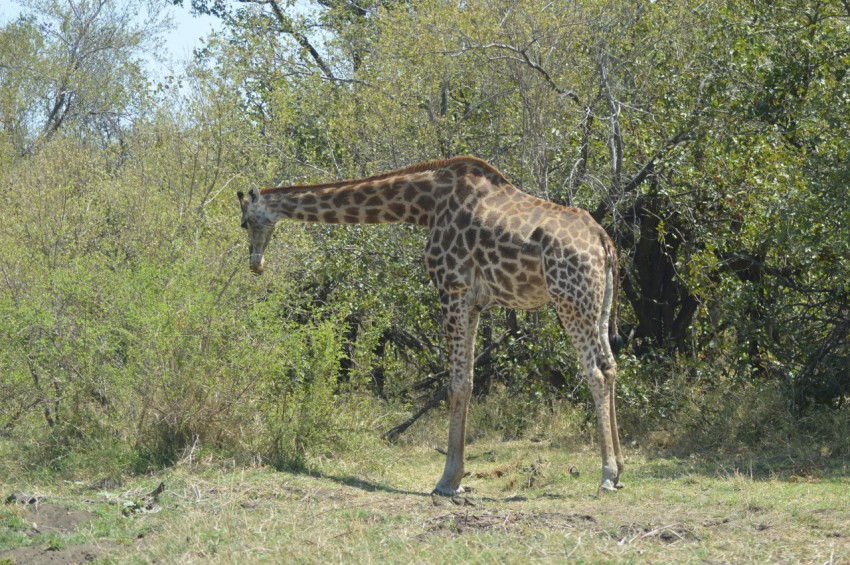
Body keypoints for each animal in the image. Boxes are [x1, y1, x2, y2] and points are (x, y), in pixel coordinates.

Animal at [237, 156, 624, 492]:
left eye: (244, 222)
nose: (256, 264)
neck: (426, 205)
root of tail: (605, 243)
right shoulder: (474, 301)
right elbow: (468, 379)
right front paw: (456, 476)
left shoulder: (452, 287)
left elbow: (457, 384)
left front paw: (449, 480)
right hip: (598, 305)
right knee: (611, 366)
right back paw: (620, 468)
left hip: (570, 299)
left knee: (595, 372)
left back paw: (606, 474)